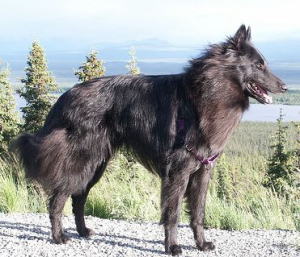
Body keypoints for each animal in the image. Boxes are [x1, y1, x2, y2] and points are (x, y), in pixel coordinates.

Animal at [12, 25, 288, 255]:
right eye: (259, 65)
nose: (285, 87)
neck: (206, 95)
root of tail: (65, 96)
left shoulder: (203, 171)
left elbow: (198, 213)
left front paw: (201, 244)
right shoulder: (178, 172)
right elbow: (173, 214)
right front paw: (173, 246)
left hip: (96, 166)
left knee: (78, 198)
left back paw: (83, 231)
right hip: (83, 162)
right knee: (58, 198)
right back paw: (59, 236)